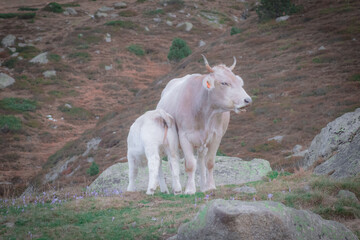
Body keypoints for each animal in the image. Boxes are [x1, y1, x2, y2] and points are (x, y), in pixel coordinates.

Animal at [156, 55, 252, 194]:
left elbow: (209, 162)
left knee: (201, 160)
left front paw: (210, 186)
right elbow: (190, 164)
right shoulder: (184, 137)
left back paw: (203, 186)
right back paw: (172, 189)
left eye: (240, 83)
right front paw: (190, 189)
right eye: (224, 83)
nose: (248, 100)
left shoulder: (216, 137)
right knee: (171, 161)